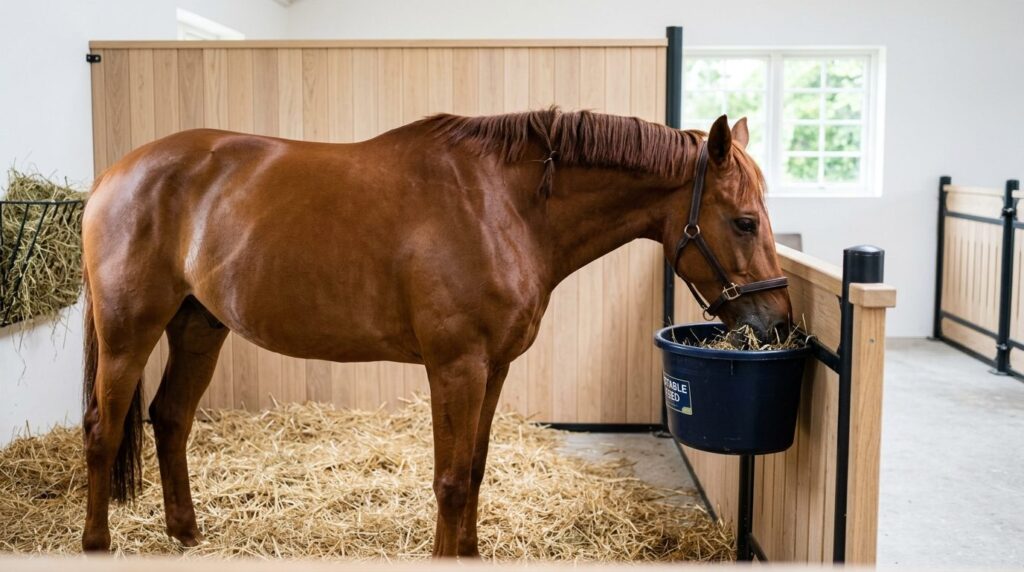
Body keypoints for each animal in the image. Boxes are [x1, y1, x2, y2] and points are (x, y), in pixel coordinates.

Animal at [80, 107, 792, 556]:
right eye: (746, 221)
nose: (778, 321)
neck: (502, 206)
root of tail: (114, 176)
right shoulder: (456, 366)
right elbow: (449, 482)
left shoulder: (494, 367)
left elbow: (472, 472)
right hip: (128, 332)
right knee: (103, 431)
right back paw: (96, 543)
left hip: (199, 326)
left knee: (170, 419)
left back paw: (186, 535)